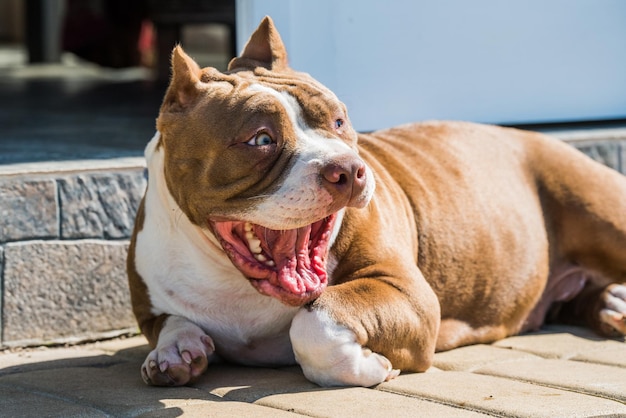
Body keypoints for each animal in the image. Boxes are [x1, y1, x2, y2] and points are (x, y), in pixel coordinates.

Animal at [127, 17, 624, 388]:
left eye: (339, 120)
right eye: (261, 139)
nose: (347, 169)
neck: (232, 279)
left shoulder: (407, 294)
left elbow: (315, 322)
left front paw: (367, 366)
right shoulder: (151, 308)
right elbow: (171, 322)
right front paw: (174, 352)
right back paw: (612, 305)